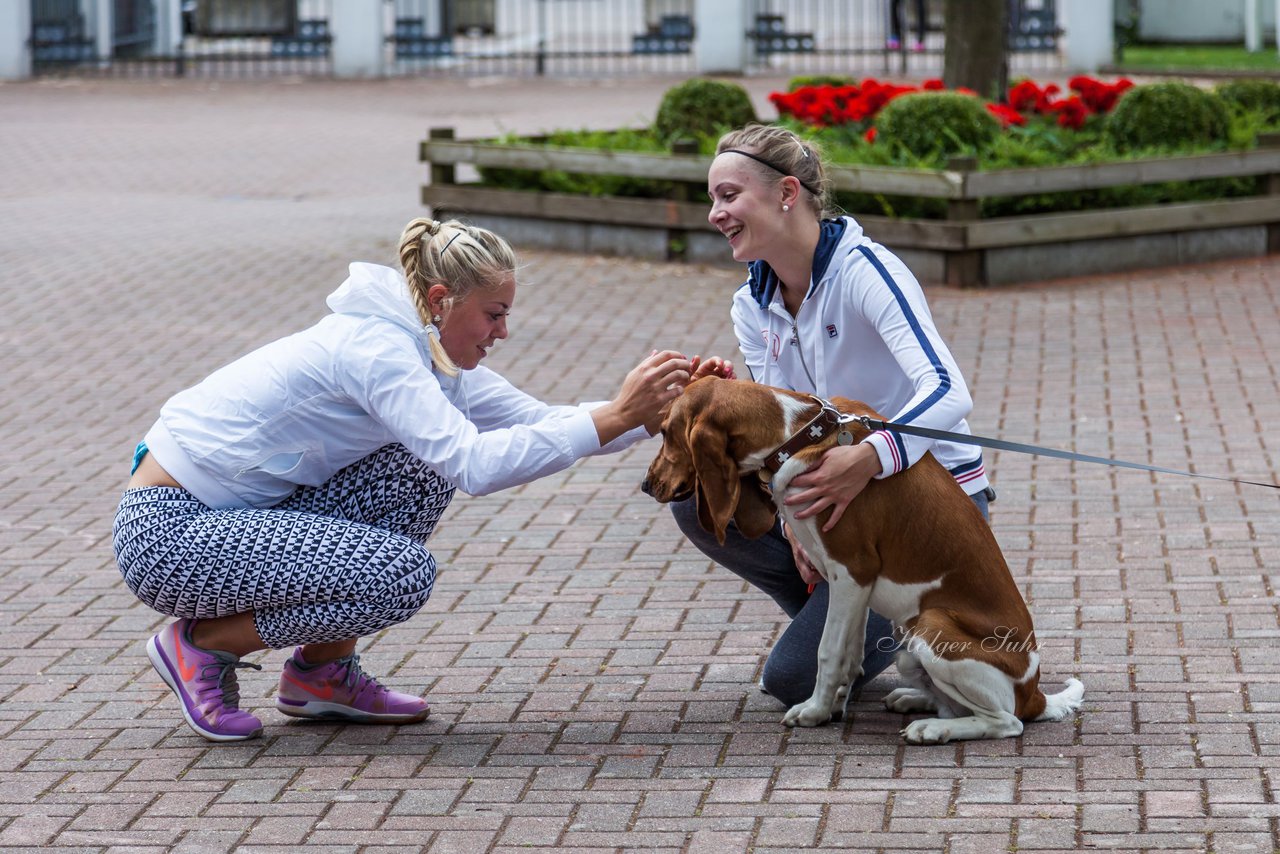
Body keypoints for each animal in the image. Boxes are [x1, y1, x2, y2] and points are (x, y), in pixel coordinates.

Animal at [645, 376, 1085, 742]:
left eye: (665, 431)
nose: (647, 485)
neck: (797, 435)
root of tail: (1035, 695)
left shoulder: (850, 571)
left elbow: (827, 651)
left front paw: (814, 711)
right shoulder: (851, 587)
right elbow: (850, 653)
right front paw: (834, 706)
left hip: (931, 626)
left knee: (1006, 721)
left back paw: (933, 729)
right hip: (907, 647)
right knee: (957, 703)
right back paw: (916, 701)